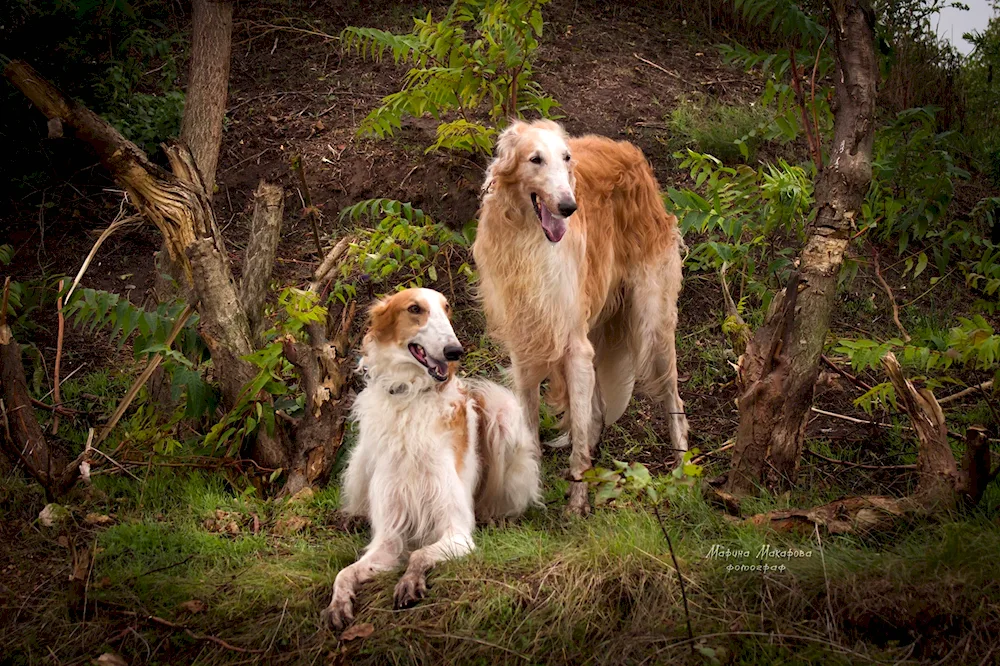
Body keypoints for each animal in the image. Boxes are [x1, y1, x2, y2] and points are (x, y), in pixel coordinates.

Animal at [320, 286, 540, 628]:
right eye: (415, 309)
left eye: (447, 309)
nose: (455, 351)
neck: (411, 398)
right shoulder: (387, 540)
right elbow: (344, 573)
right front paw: (338, 602)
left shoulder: (458, 533)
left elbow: (418, 554)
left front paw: (410, 581)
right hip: (360, 458)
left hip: (503, 409)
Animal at [470, 118, 688, 512]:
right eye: (535, 159)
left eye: (566, 157)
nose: (569, 207)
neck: (530, 241)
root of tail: (632, 153)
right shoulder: (525, 350)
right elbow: (533, 429)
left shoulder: (573, 346)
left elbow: (580, 439)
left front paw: (576, 505)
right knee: (596, 411)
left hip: (652, 323)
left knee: (672, 398)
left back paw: (684, 473)